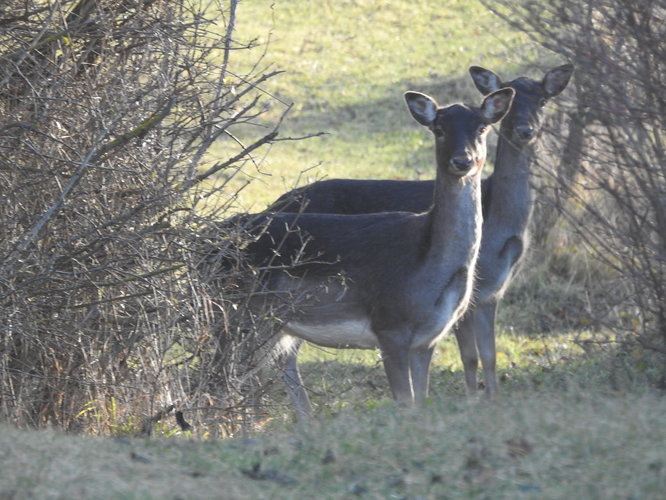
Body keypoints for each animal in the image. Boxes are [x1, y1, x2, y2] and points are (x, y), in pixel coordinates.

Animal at [226, 87, 510, 418]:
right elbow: (405, 402)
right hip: (238, 317)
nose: (462, 161)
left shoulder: (427, 339)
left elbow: (421, 399)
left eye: (482, 128)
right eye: (439, 129)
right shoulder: (389, 328)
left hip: (269, 327)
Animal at [266, 63, 572, 402]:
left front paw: (492, 400)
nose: (525, 130)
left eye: (543, 100)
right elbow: (470, 356)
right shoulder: (471, 294)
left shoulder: (492, 294)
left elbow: (490, 355)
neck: (502, 226)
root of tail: (276, 202)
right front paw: (473, 401)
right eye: (512, 103)